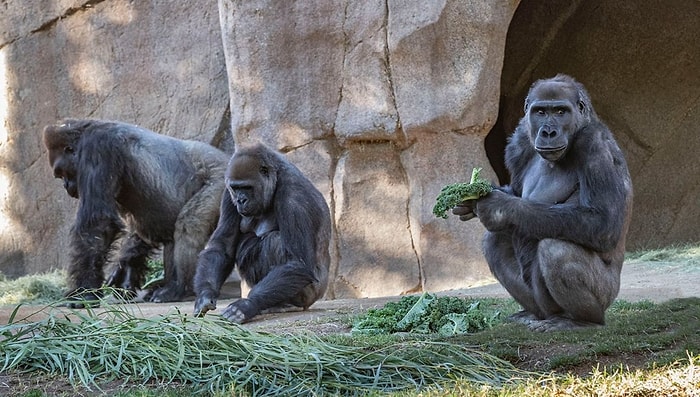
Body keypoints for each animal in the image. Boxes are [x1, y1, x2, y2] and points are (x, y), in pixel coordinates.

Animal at [43, 118, 230, 306]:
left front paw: (84, 291)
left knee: (189, 225)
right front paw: (126, 268)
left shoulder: (97, 147)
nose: (66, 186)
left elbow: (98, 224)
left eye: (62, 172)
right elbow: (144, 228)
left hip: (221, 180)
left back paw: (177, 287)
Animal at [193, 144, 332, 324]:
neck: (277, 178)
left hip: (312, 294)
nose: (241, 200)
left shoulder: (294, 197)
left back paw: (287, 304)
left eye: (247, 187)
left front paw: (247, 305)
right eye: (236, 188)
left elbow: (297, 262)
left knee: (274, 242)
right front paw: (205, 295)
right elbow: (222, 247)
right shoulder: (228, 195)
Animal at [454, 74, 636, 332]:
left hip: (608, 294)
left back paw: (581, 320)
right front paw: (472, 199)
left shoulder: (594, 143)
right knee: (495, 241)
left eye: (561, 111)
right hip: (540, 304)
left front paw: (499, 207)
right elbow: (515, 191)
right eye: (540, 112)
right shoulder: (520, 140)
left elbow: (603, 221)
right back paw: (532, 314)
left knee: (556, 249)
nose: (548, 131)